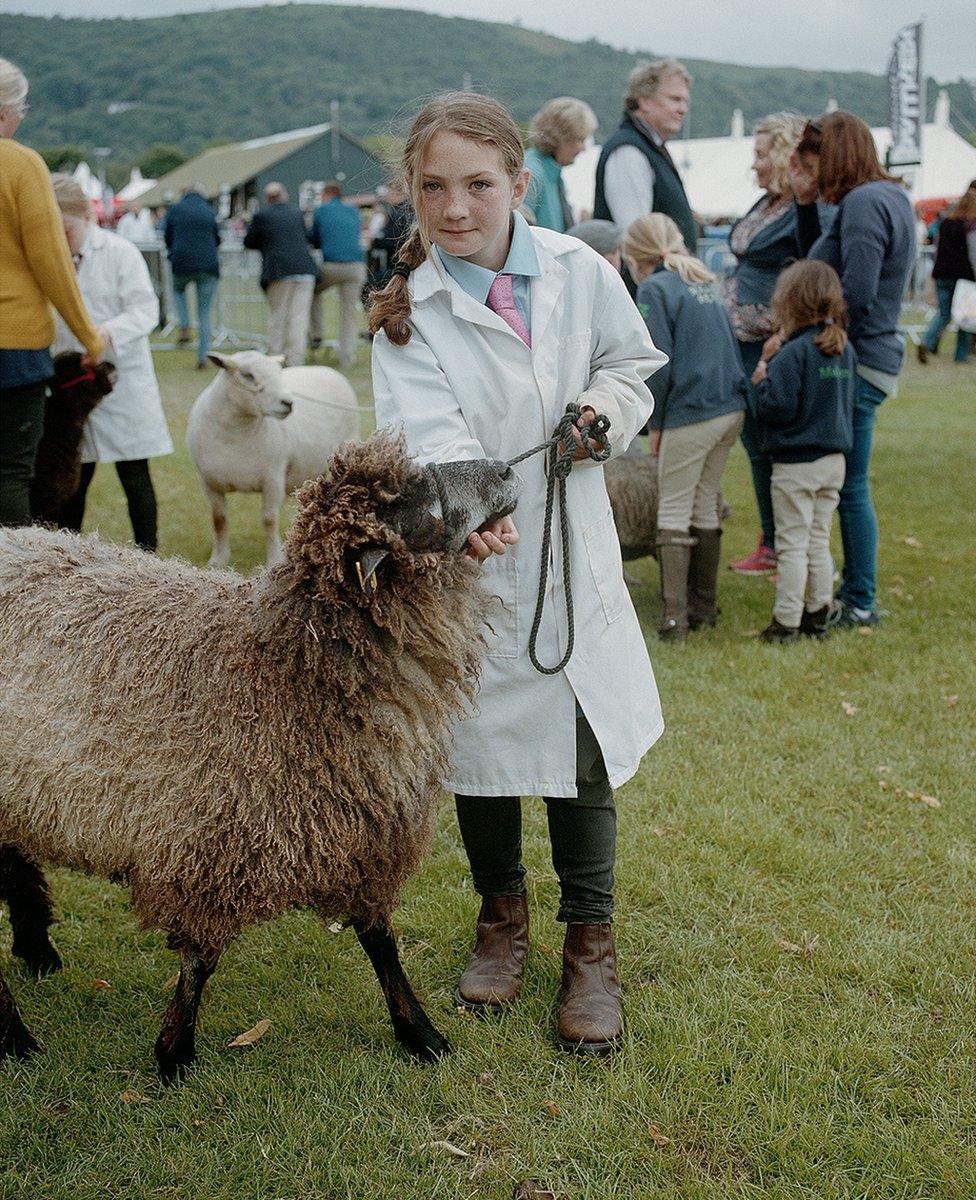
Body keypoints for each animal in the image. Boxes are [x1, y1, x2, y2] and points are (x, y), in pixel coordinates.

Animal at [0, 429, 521, 1080]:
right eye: (418, 499)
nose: (508, 470)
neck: (287, 666)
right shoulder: (211, 846)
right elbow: (199, 962)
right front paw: (174, 1054)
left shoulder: (360, 834)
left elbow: (380, 941)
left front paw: (420, 1033)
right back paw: (16, 1035)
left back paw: (37, 954)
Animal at [186, 350, 362, 568]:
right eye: (248, 375)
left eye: (279, 373)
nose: (288, 403)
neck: (236, 434)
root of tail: (326, 369)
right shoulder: (209, 483)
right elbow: (219, 520)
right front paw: (218, 560)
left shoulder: (273, 478)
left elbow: (269, 519)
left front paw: (274, 560)